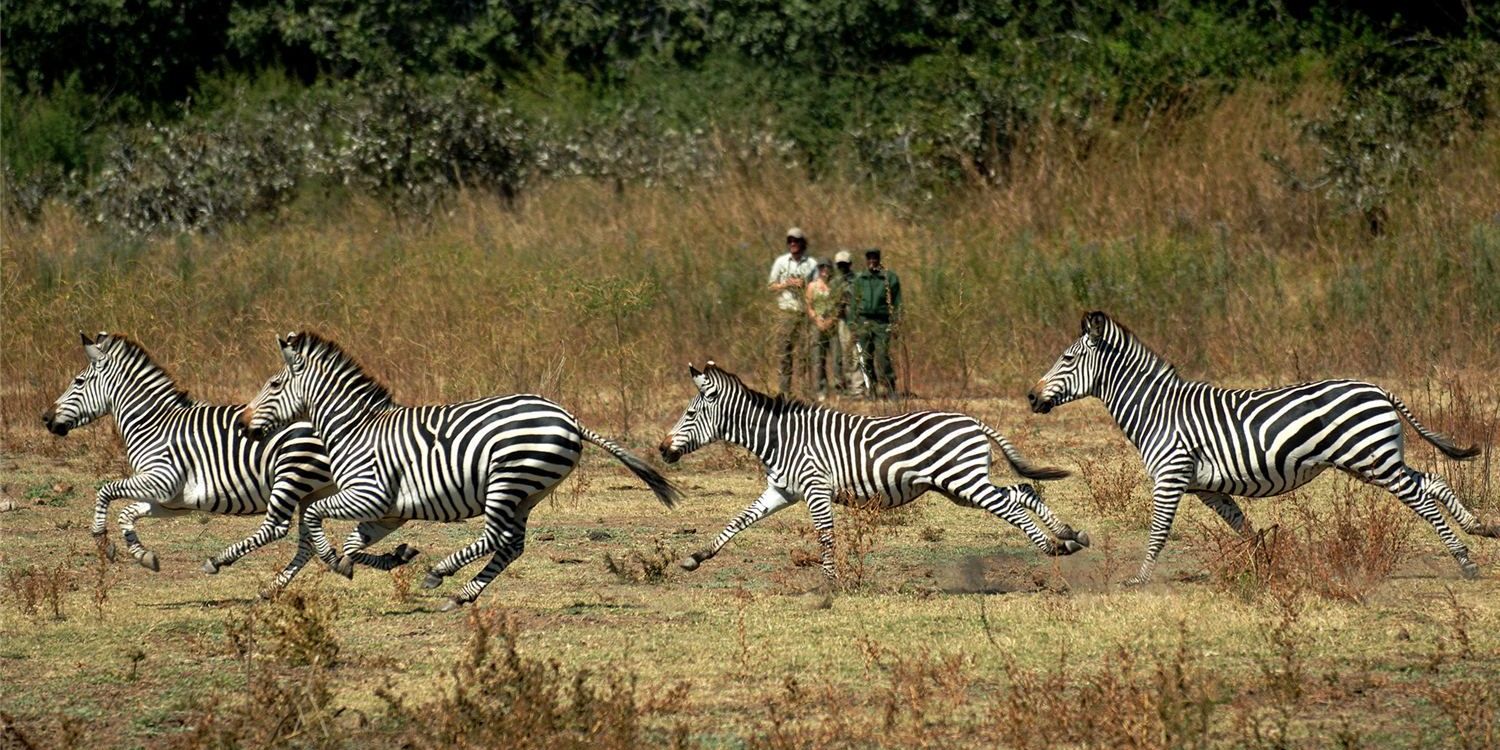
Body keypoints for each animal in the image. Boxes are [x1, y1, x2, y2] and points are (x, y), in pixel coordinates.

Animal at [40, 332, 420, 592]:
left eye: (78, 381)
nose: (46, 419)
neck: (154, 423)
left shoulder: (161, 478)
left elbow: (107, 491)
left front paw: (103, 541)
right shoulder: (172, 501)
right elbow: (128, 514)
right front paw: (142, 556)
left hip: (292, 474)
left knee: (277, 528)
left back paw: (221, 561)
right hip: (314, 490)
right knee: (307, 541)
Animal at [239, 331, 682, 611]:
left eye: (274, 385)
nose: (243, 424)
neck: (355, 428)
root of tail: (568, 417)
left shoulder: (369, 494)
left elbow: (316, 516)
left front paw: (333, 559)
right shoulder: (388, 512)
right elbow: (355, 544)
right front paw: (369, 560)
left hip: (508, 479)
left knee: (497, 537)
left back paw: (441, 572)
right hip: (529, 491)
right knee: (512, 545)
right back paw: (463, 594)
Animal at [656, 362, 1086, 578]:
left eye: (689, 415)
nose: (661, 450)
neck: (780, 438)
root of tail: (973, 421)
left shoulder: (815, 489)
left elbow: (826, 537)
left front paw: (830, 583)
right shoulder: (782, 490)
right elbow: (738, 521)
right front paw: (696, 557)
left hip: (963, 481)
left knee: (1012, 504)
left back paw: (1052, 546)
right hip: (959, 485)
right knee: (1022, 492)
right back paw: (1069, 536)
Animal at [1027, 311, 1495, 585]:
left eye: (1067, 360)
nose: (1031, 397)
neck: (1156, 410)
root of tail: (1377, 388)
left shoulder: (1171, 476)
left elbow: (1159, 531)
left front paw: (1139, 580)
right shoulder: (1206, 487)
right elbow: (1242, 526)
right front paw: (1266, 564)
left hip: (1373, 459)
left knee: (1423, 497)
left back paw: (1465, 561)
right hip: (1374, 460)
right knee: (1432, 480)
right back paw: (1478, 529)